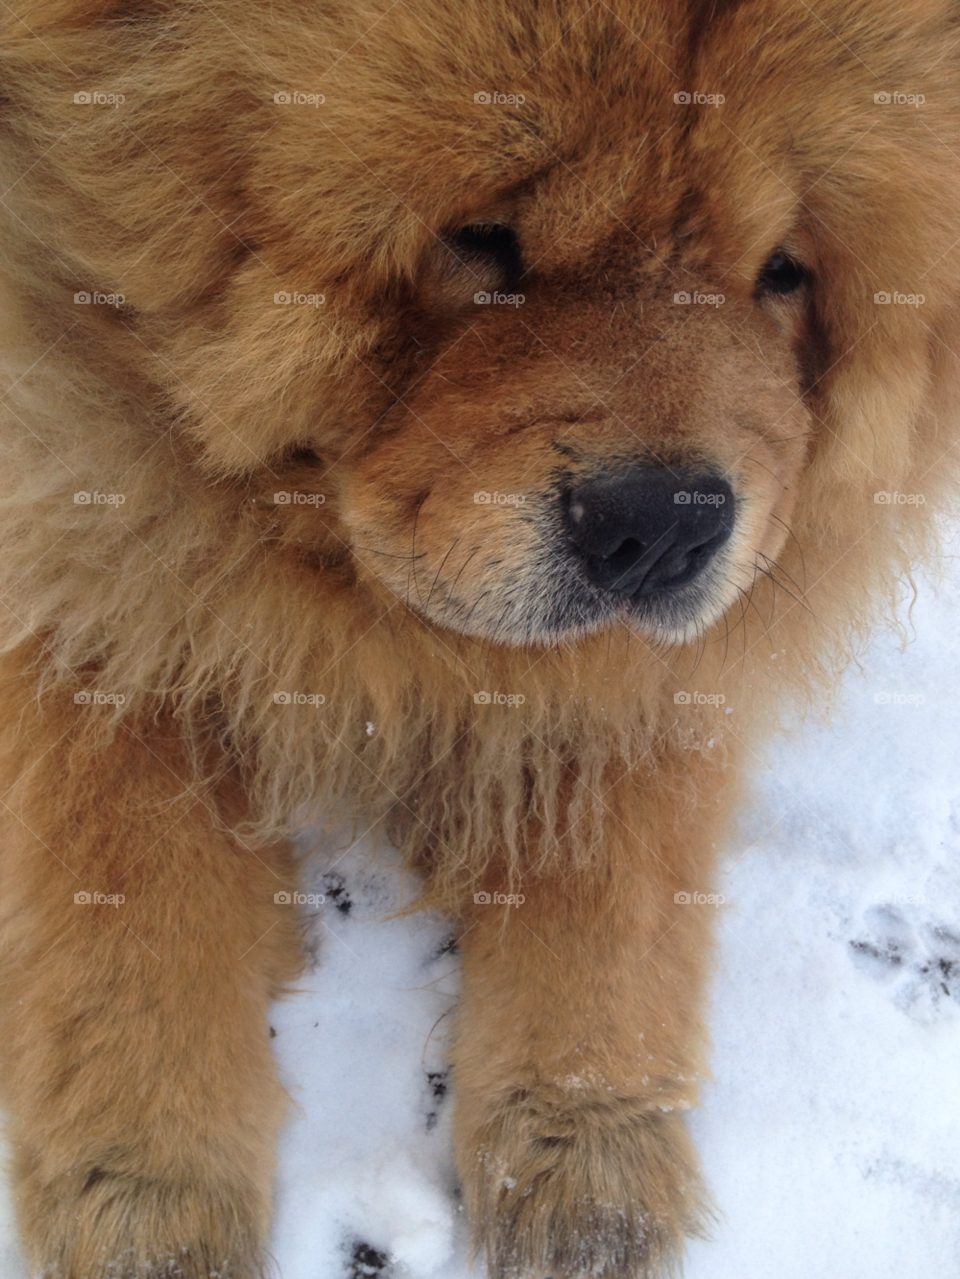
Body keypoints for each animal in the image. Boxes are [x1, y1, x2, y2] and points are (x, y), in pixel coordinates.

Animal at [0, 0, 956, 1273]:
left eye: (783, 273)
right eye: (483, 240)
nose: (661, 525)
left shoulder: (654, 676)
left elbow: (615, 877)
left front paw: (584, 1150)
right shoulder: (82, 533)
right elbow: (119, 875)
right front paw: (148, 1191)